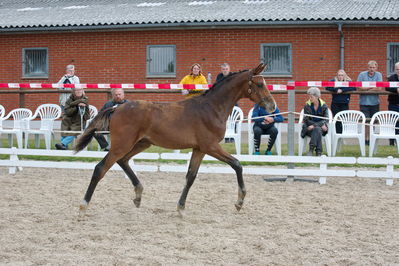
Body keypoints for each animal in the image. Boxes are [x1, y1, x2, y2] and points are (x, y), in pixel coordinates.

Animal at [76, 64, 278, 216]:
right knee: (100, 168)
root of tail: (117, 107)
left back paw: (138, 195)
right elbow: (237, 164)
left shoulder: (199, 149)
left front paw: (180, 207)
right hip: (122, 144)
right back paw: (83, 205)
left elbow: (191, 176)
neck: (212, 108)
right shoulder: (210, 146)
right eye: (259, 84)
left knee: (123, 161)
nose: (272, 106)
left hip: (141, 143)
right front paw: (239, 201)